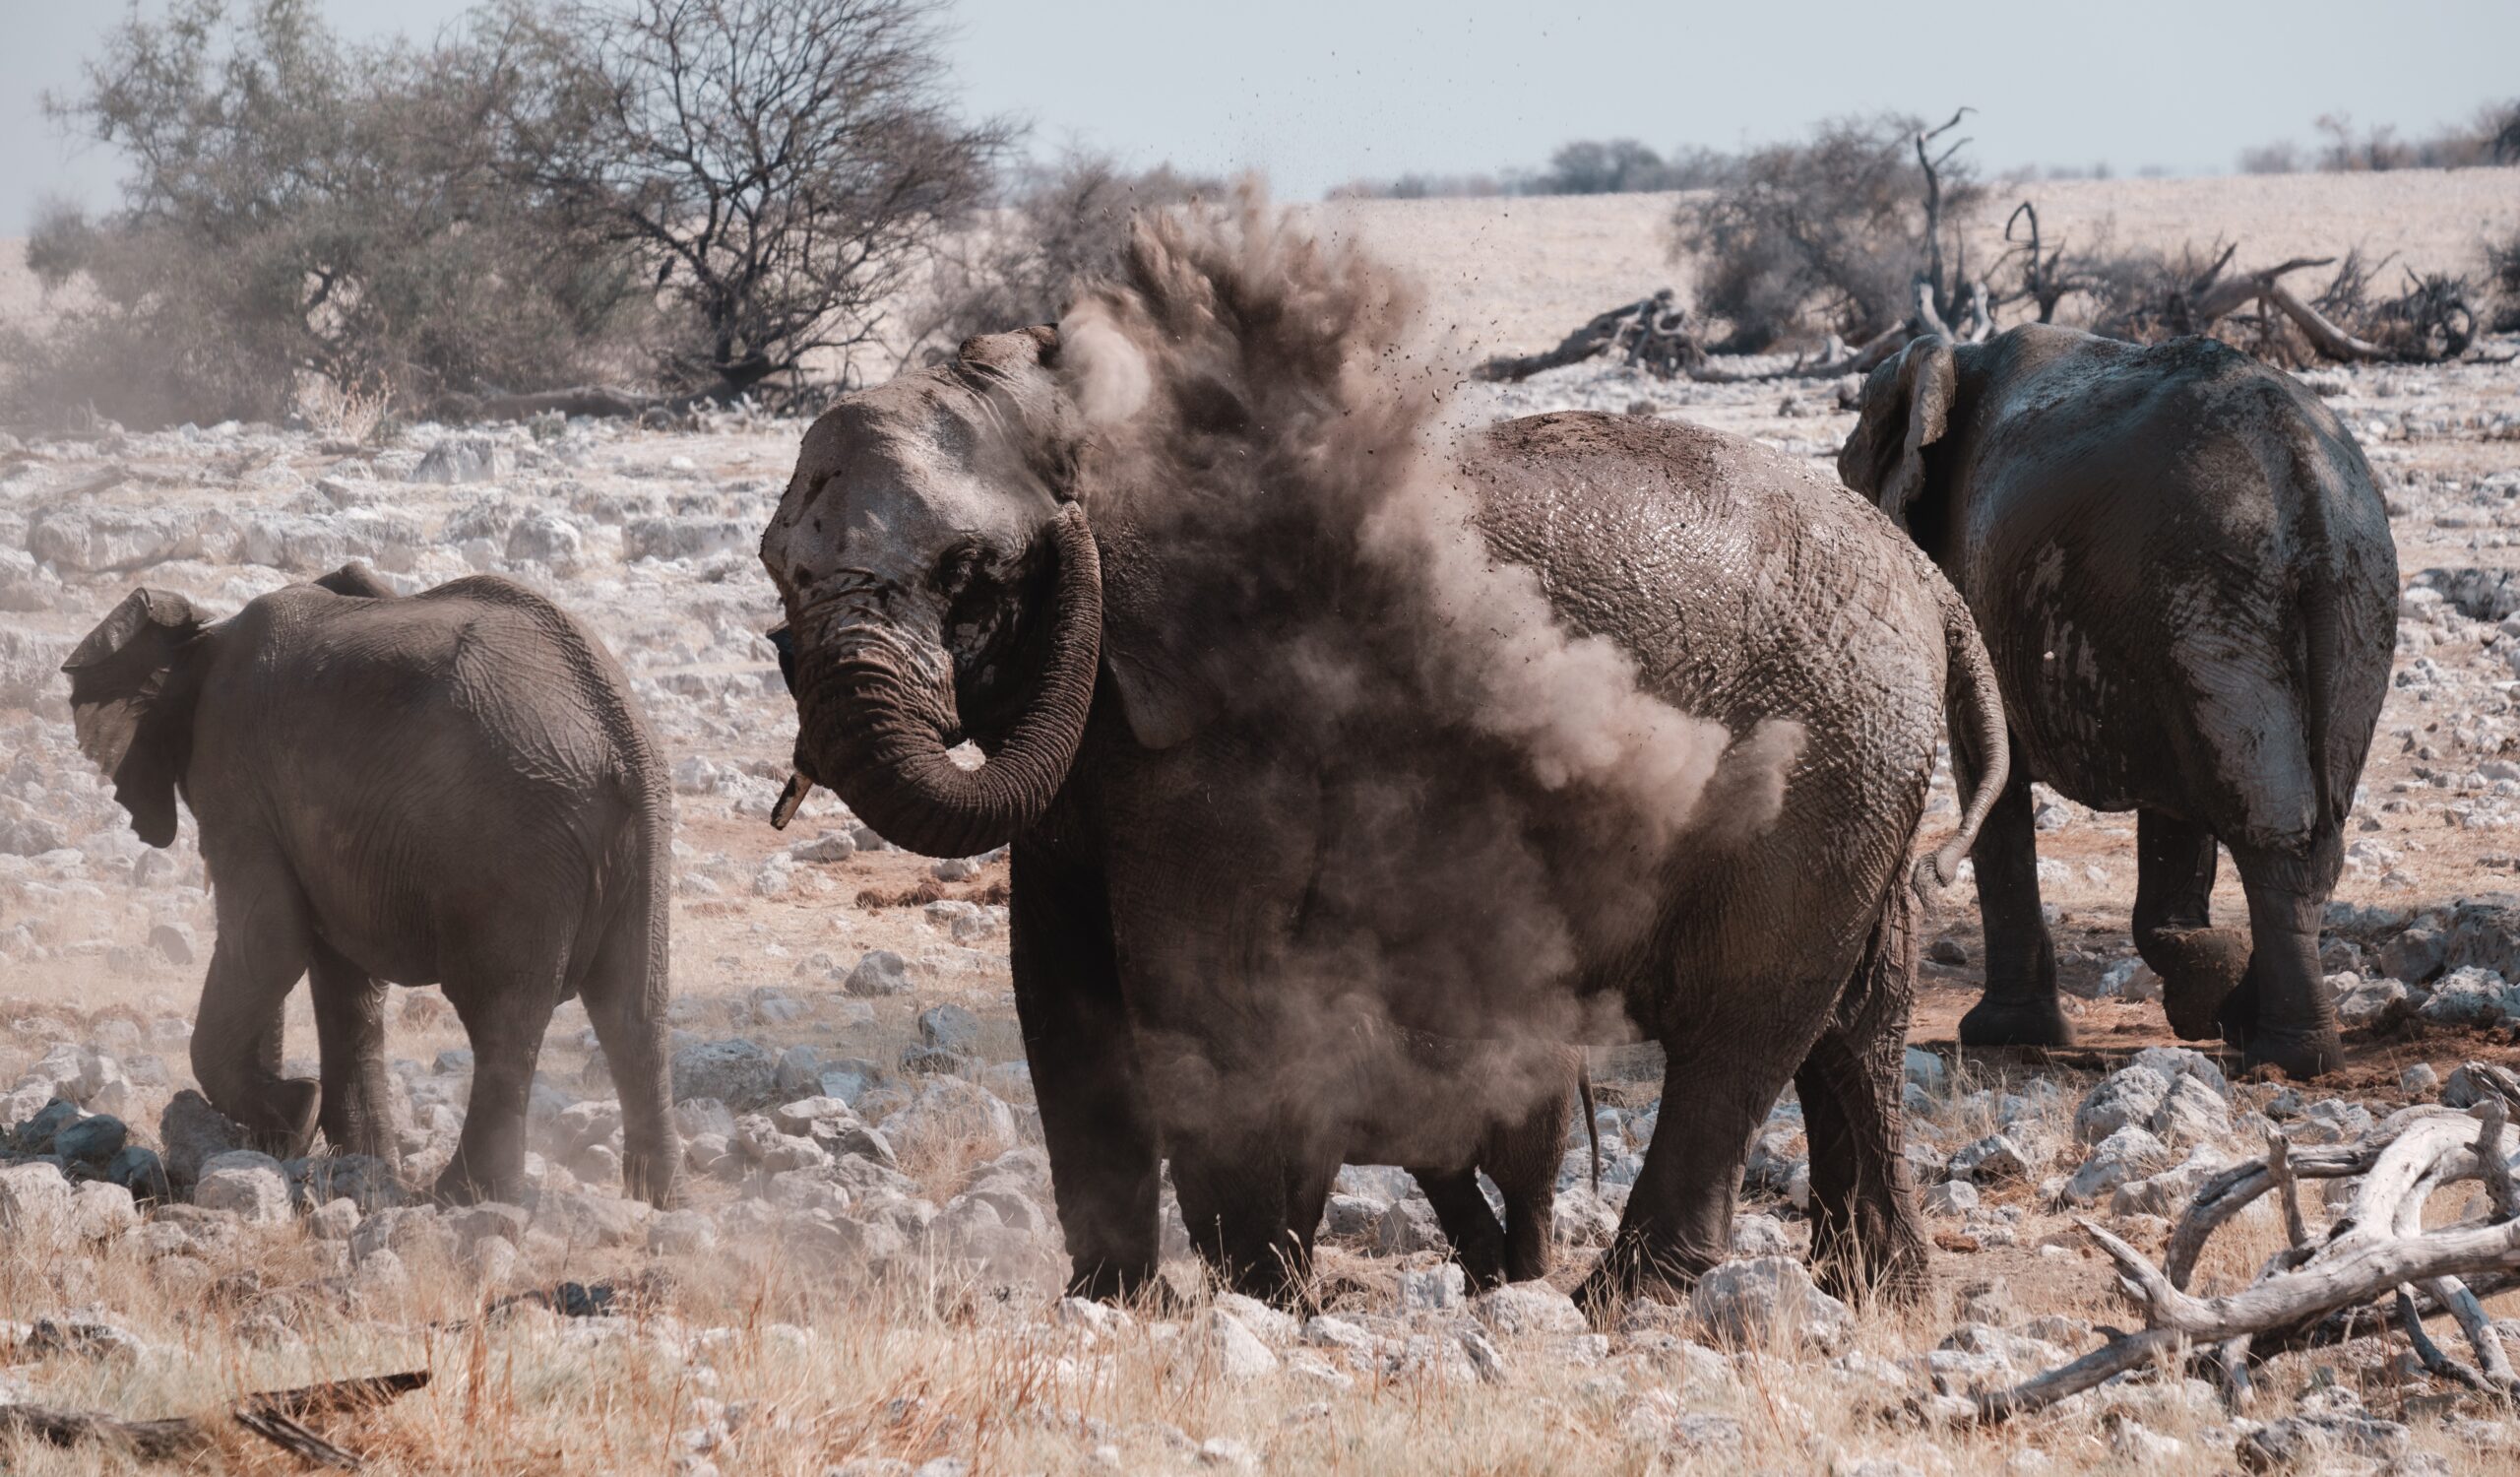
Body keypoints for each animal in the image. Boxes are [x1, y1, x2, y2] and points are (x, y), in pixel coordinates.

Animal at [66, 559, 680, 1194]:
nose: (272, 1140)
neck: (206, 635)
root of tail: (624, 740)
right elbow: (342, 977)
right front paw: (351, 1157)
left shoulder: (235, 767)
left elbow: (269, 942)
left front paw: (299, 1112)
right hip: (632, 844)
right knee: (633, 1010)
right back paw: (655, 1198)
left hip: (516, 847)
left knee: (501, 1016)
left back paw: (460, 1199)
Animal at [766, 204, 2005, 1300]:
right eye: (781, 571)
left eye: (969, 577)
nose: (1066, 526)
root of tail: (1925, 578)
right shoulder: (1094, 739)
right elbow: (1057, 990)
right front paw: (1118, 1300)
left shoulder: (1222, 728)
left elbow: (1192, 988)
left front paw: (1257, 1291)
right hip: (1863, 770)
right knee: (1857, 1026)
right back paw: (1875, 1293)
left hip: (1817, 772)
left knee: (1740, 1023)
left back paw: (1624, 1298)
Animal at [1834, 327, 2399, 1073]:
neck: (1956, 355)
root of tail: (2302, 475)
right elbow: (2171, 811)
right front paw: (2206, 981)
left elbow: (1991, 769)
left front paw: (2002, 1034)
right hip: (2334, 603)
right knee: (2309, 821)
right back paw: (2269, 1032)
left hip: (2212, 589)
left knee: (2267, 819)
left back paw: (2283, 1054)